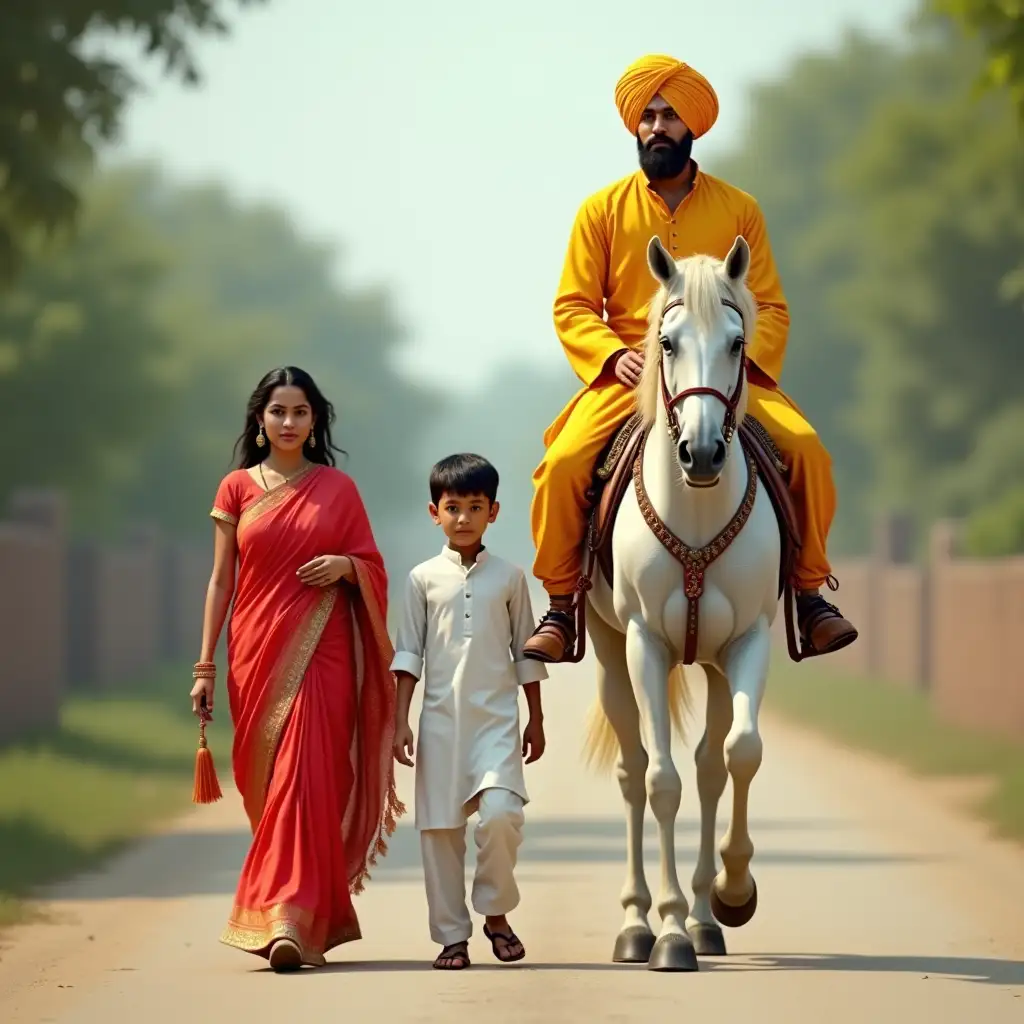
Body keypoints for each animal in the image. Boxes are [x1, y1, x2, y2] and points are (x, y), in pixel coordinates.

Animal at [581, 235, 778, 970]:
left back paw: (704, 919)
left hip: (715, 663)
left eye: (736, 342)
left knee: (712, 767)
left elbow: (742, 753)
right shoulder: (644, 641)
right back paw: (640, 923)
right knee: (635, 771)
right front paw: (664, 932)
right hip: (609, 649)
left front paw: (732, 891)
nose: (701, 451)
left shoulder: (750, 640)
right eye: (666, 342)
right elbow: (661, 781)